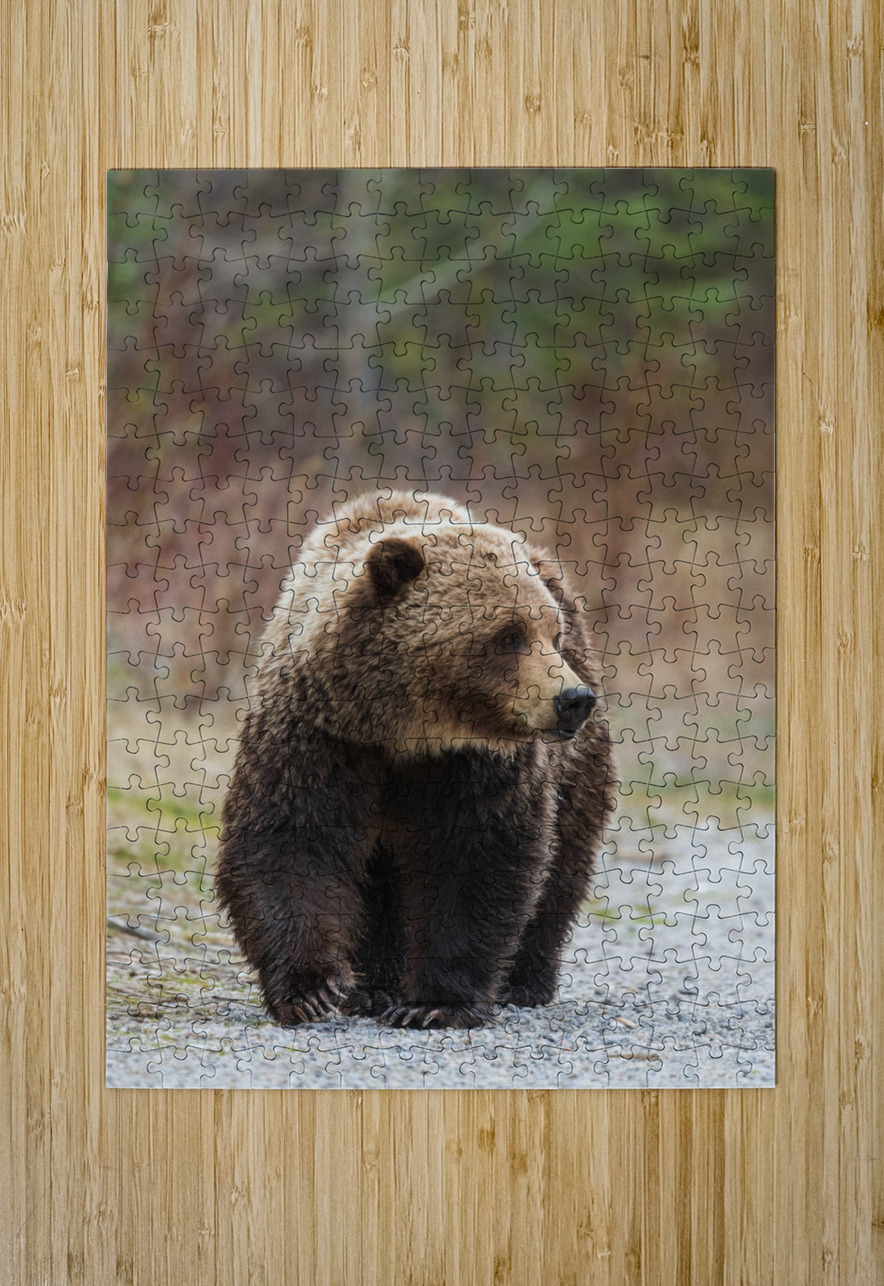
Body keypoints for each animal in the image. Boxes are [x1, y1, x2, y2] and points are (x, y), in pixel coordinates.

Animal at [215, 490, 615, 1029]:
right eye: (508, 635)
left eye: (552, 634)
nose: (572, 699)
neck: (402, 730)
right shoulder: (316, 735)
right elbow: (291, 841)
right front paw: (312, 989)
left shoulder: (478, 763)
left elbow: (475, 858)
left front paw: (434, 1002)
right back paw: (374, 987)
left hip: (576, 767)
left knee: (564, 860)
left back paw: (523, 981)